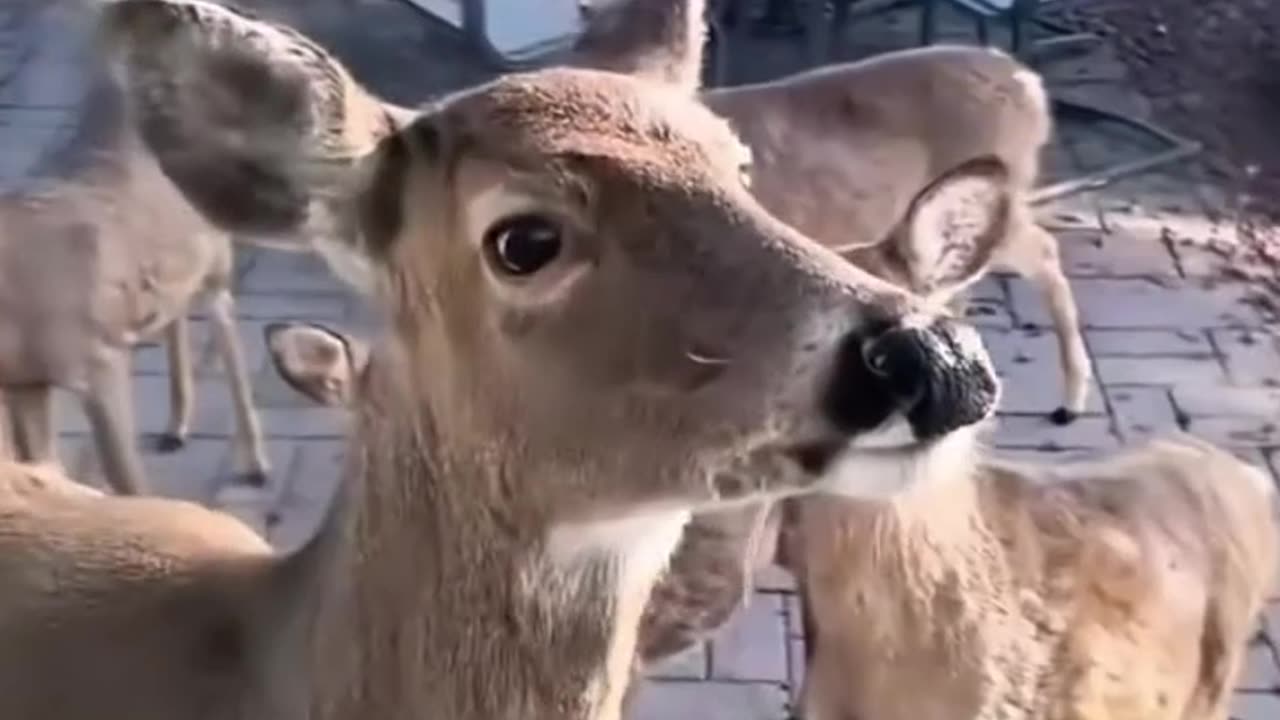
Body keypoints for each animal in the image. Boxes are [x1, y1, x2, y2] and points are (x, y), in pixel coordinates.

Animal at [0, 75, 269, 494]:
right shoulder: (25, 382)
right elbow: (42, 464)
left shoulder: (101, 359)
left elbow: (125, 478)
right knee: (177, 308)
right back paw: (176, 428)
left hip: (215, 247)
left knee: (224, 319)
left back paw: (256, 464)